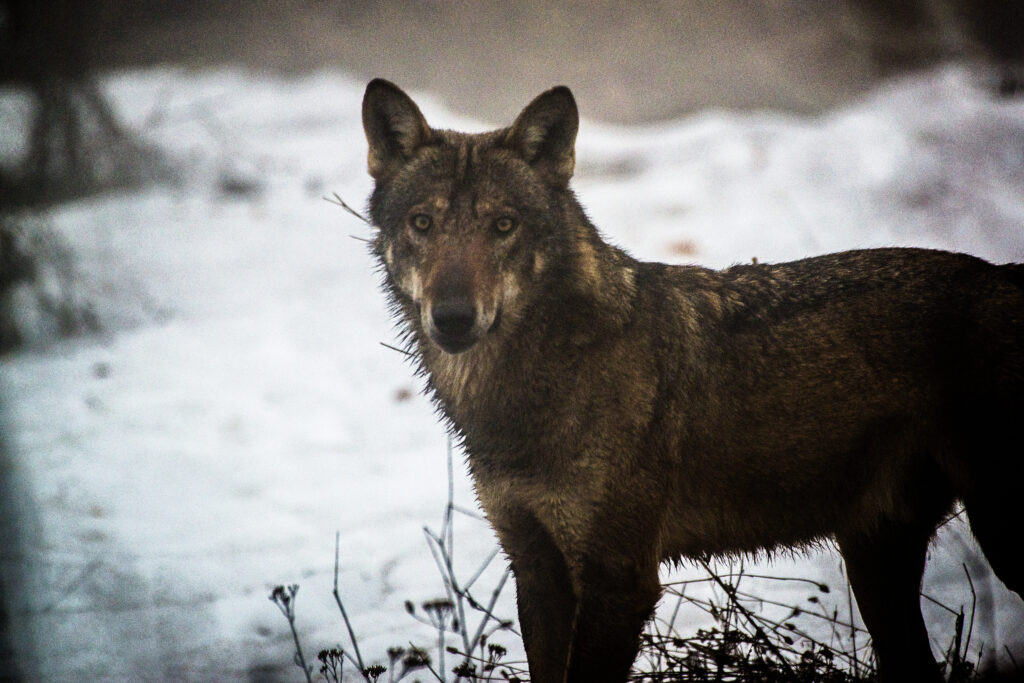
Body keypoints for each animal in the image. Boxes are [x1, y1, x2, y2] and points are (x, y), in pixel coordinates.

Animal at [360, 78, 1024, 683]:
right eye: (422, 223)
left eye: (503, 225)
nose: (452, 317)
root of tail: (1007, 276)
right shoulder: (537, 569)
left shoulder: (620, 579)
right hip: (874, 558)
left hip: (992, 535)